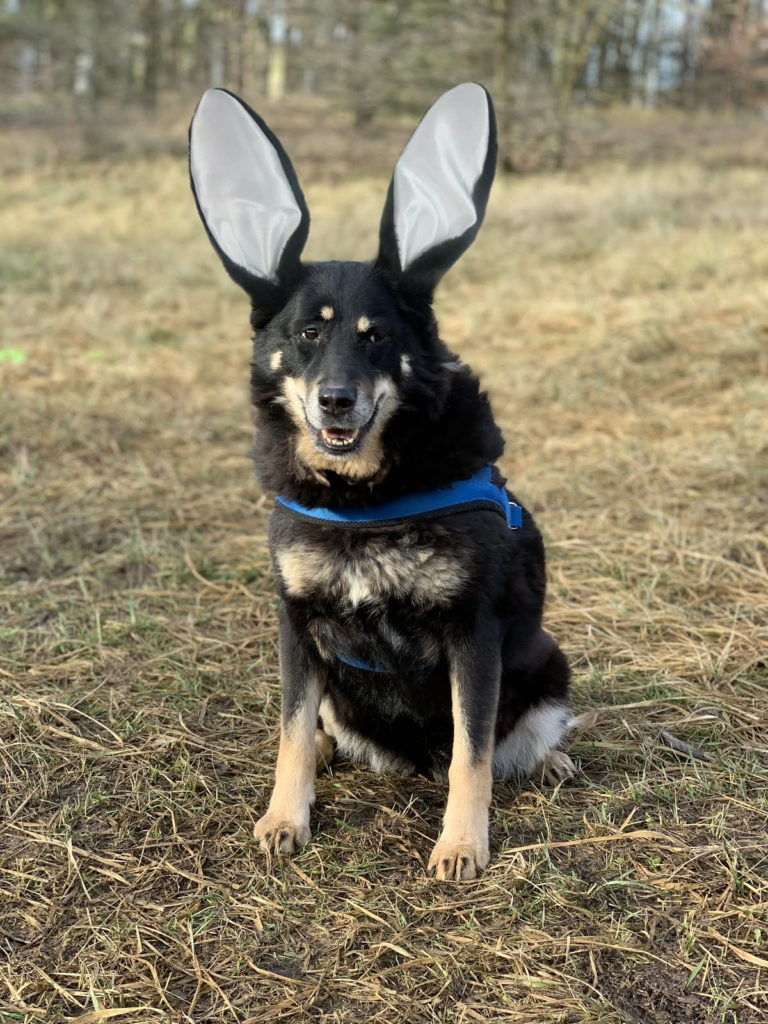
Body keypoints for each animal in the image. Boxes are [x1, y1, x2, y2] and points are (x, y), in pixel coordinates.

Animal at [189, 83, 574, 881]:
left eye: (377, 336)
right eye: (308, 333)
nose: (336, 401)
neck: (363, 498)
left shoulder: (474, 634)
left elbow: (471, 754)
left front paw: (461, 844)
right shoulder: (297, 625)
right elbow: (291, 730)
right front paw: (285, 816)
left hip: (547, 658)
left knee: (520, 735)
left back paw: (549, 759)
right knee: (324, 726)